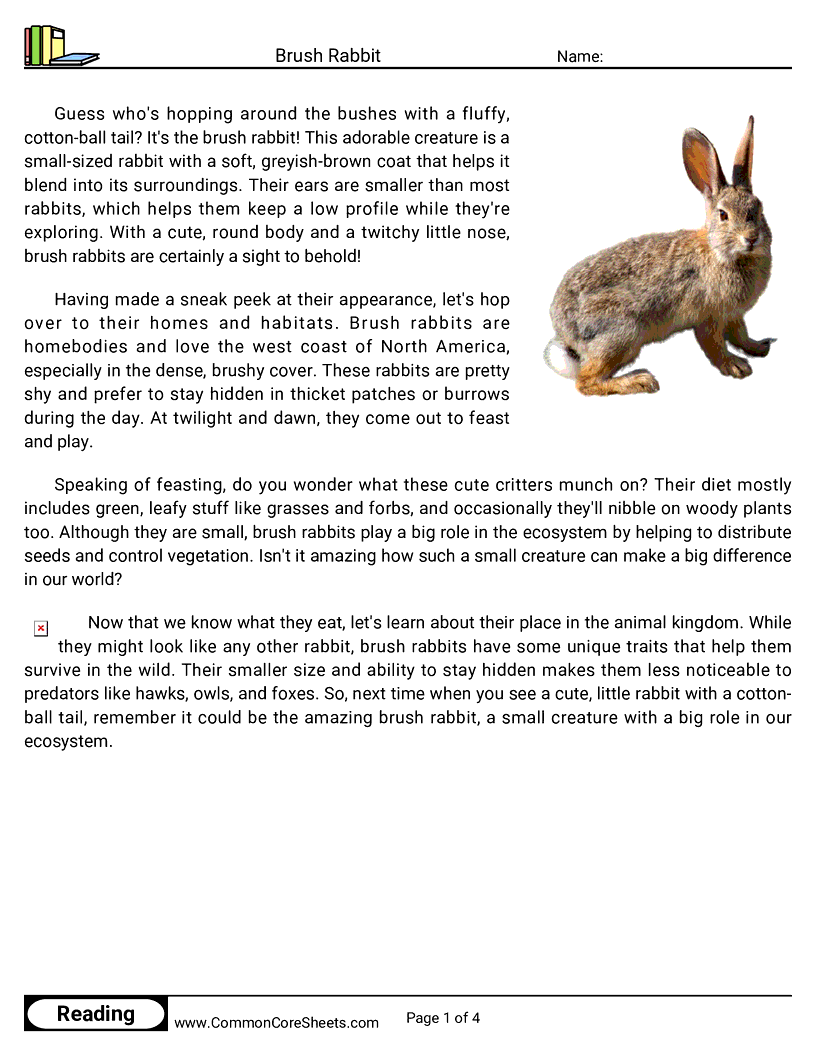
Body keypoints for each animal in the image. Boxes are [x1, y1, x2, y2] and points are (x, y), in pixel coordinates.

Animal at [544, 117, 774, 395]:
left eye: (759, 208)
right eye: (723, 215)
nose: (751, 238)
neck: (718, 252)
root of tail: (564, 331)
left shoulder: (734, 315)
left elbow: (741, 334)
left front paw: (759, 346)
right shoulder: (708, 317)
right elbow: (714, 346)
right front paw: (736, 367)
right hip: (623, 333)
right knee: (585, 382)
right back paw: (640, 380)